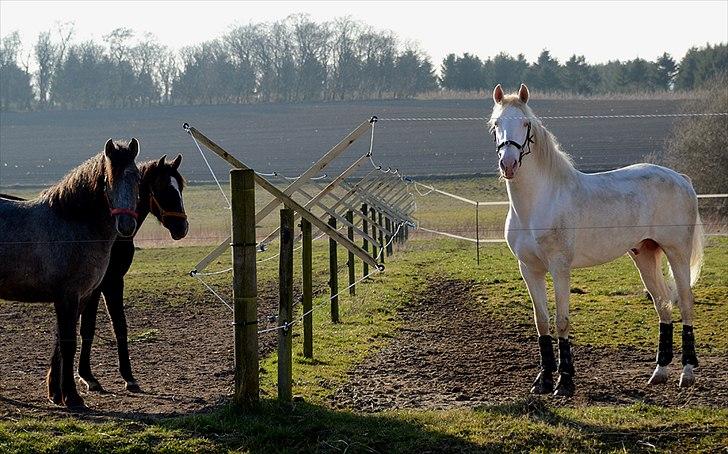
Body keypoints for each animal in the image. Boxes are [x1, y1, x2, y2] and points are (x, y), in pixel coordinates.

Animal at [0, 137, 139, 408]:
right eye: (107, 180)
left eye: (137, 177)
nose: (126, 226)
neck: (72, 223)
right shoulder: (67, 296)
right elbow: (68, 344)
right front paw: (72, 397)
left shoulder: (80, 297)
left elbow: (61, 342)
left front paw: (56, 393)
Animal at [492, 83, 704, 396]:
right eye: (496, 124)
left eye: (525, 123)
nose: (508, 163)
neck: (538, 203)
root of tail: (680, 178)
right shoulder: (529, 269)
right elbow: (542, 322)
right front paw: (543, 381)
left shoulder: (560, 268)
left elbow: (561, 321)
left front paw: (565, 383)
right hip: (644, 254)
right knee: (663, 304)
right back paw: (659, 372)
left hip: (676, 252)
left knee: (686, 302)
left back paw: (687, 373)